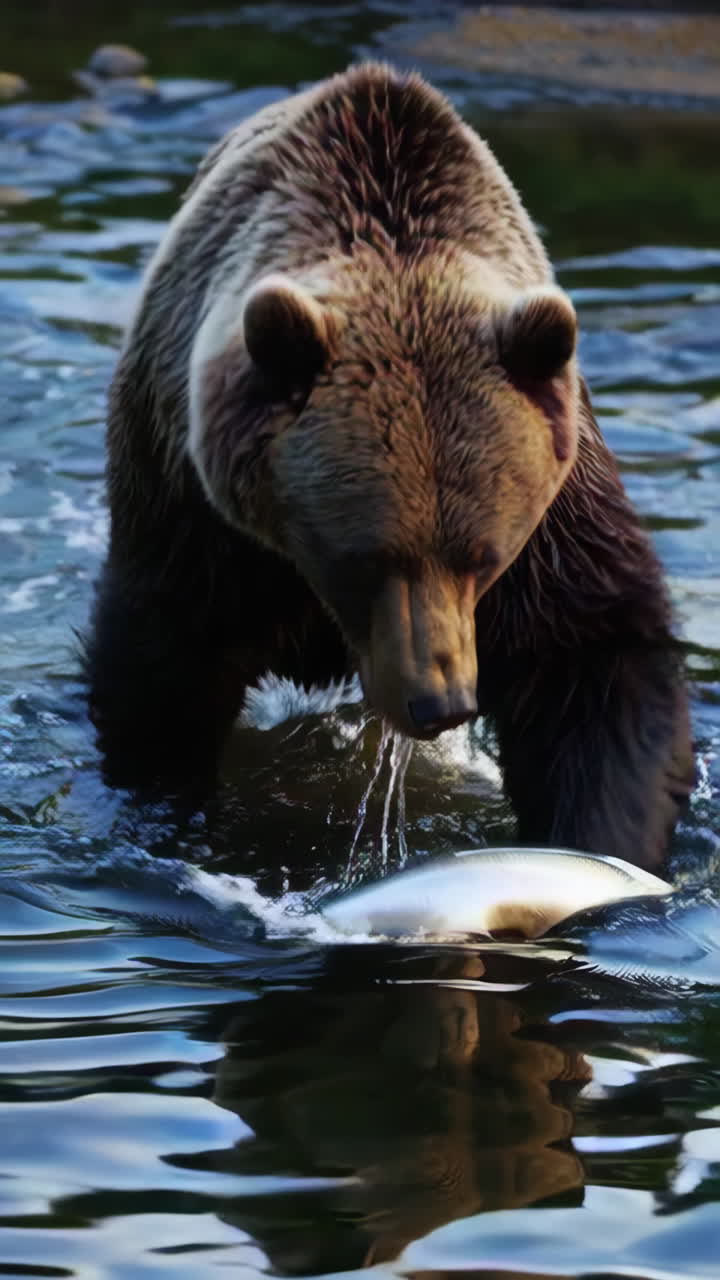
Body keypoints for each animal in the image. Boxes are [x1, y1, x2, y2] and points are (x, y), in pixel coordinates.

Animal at [85, 62, 694, 871]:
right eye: (365, 557)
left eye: (483, 556)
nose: (440, 702)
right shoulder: (191, 505)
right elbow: (161, 664)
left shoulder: (560, 509)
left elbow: (595, 661)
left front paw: (598, 842)